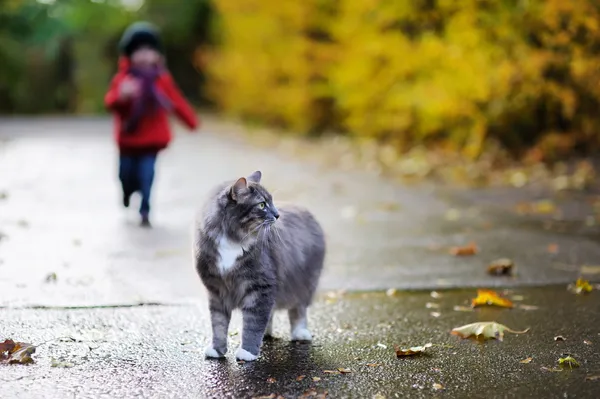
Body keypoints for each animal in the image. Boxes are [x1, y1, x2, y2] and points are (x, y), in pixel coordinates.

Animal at [195, 171, 326, 362]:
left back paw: (300, 333)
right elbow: (219, 325)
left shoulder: (261, 287)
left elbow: (253, 323)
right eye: (262, 205)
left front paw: (247, 352)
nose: (277, 215)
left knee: (298, 310)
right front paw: (217, 350)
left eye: (271, 202)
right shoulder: (217, 290)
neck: (232, 240)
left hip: (304, 284)